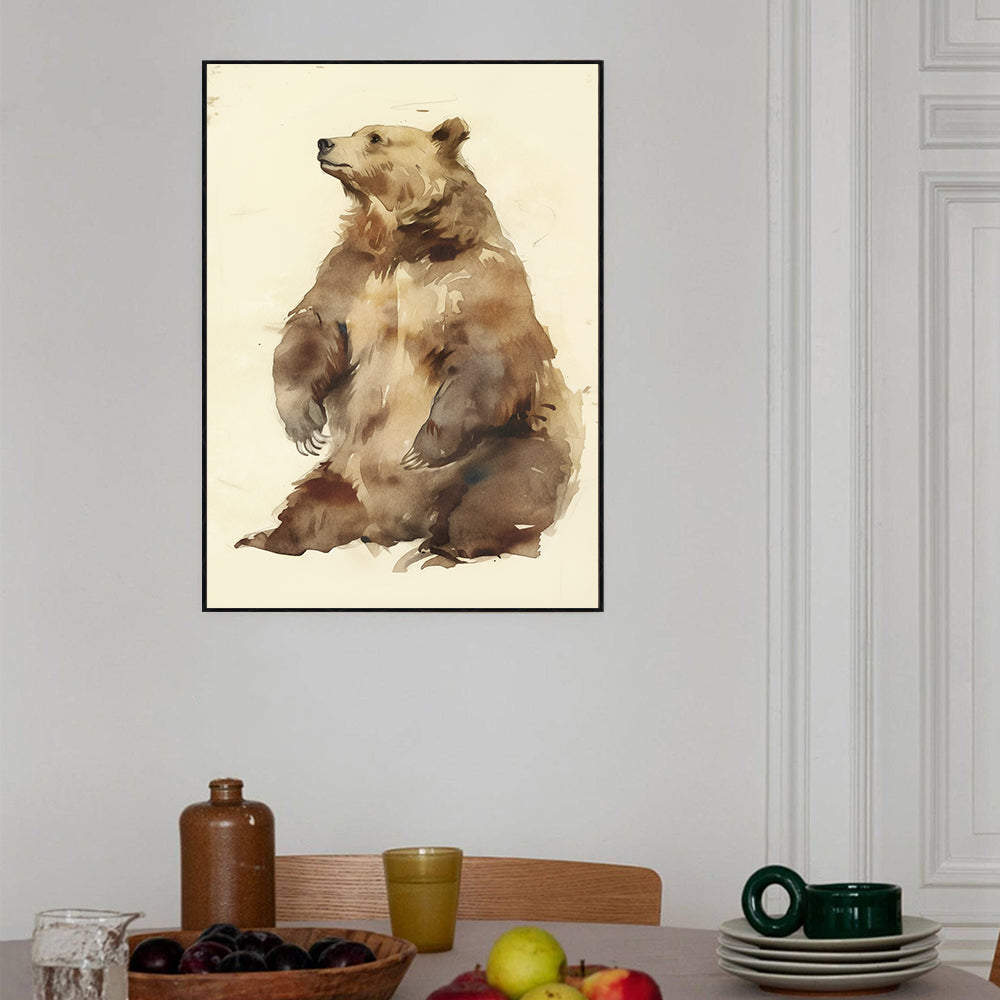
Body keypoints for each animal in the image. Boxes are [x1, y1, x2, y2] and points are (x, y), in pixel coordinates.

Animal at [236, 118, 582, 566]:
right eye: (357, 131)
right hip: (344, 474)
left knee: (500, 498)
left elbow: (490, 354)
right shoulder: (352, 272)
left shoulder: (475, 280)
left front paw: (423, 447)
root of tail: (397, 524)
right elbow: (315, 325)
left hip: (516, 448)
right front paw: (304, 423)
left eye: (375, 137)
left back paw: (450, 548)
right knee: (312, 503)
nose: (324, 142)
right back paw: (267, 539)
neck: (405, 242)